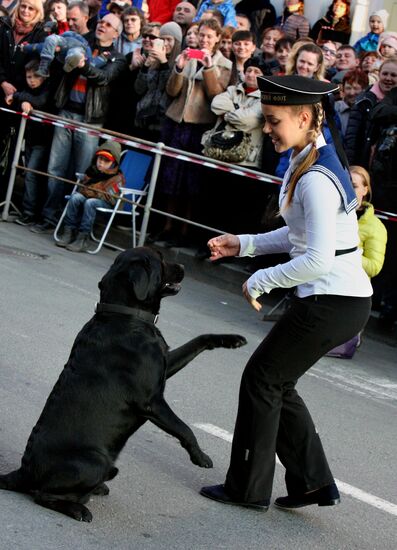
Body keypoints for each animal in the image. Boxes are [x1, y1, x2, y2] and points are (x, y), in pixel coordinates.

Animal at [0, 248, 244, 524]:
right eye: (161, 260)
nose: (183, 266)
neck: (126, 315)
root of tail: (23, 471)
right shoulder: (152, 402)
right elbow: (184, 428)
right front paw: (200, 456)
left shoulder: (166, 365)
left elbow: (198, 341)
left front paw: (231, 340)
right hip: (96, 461)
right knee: (43, 495)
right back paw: (79, 509)